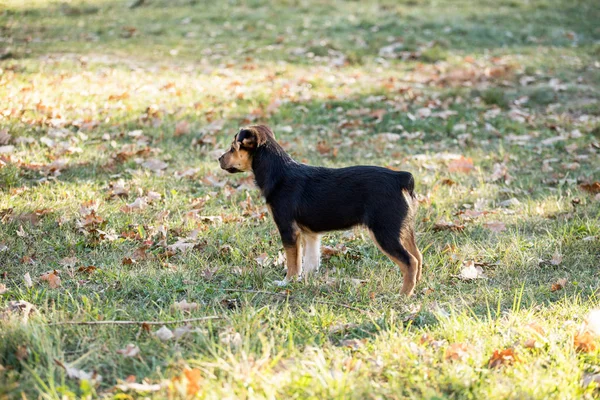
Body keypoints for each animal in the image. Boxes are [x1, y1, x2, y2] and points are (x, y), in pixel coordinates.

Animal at [219, 126, 422, 296]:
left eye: (232, 148)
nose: (219, 159)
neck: (277, 171)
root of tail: (401, 178)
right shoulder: (310, 235)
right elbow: (309, 261)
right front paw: (304, 282)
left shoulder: (288, 230)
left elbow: (293, 262)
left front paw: (287, 282)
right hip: (402, 229)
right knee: (418, 256)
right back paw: (415, 288)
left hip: (384, 232)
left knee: (410, 261)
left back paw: (402, 295)